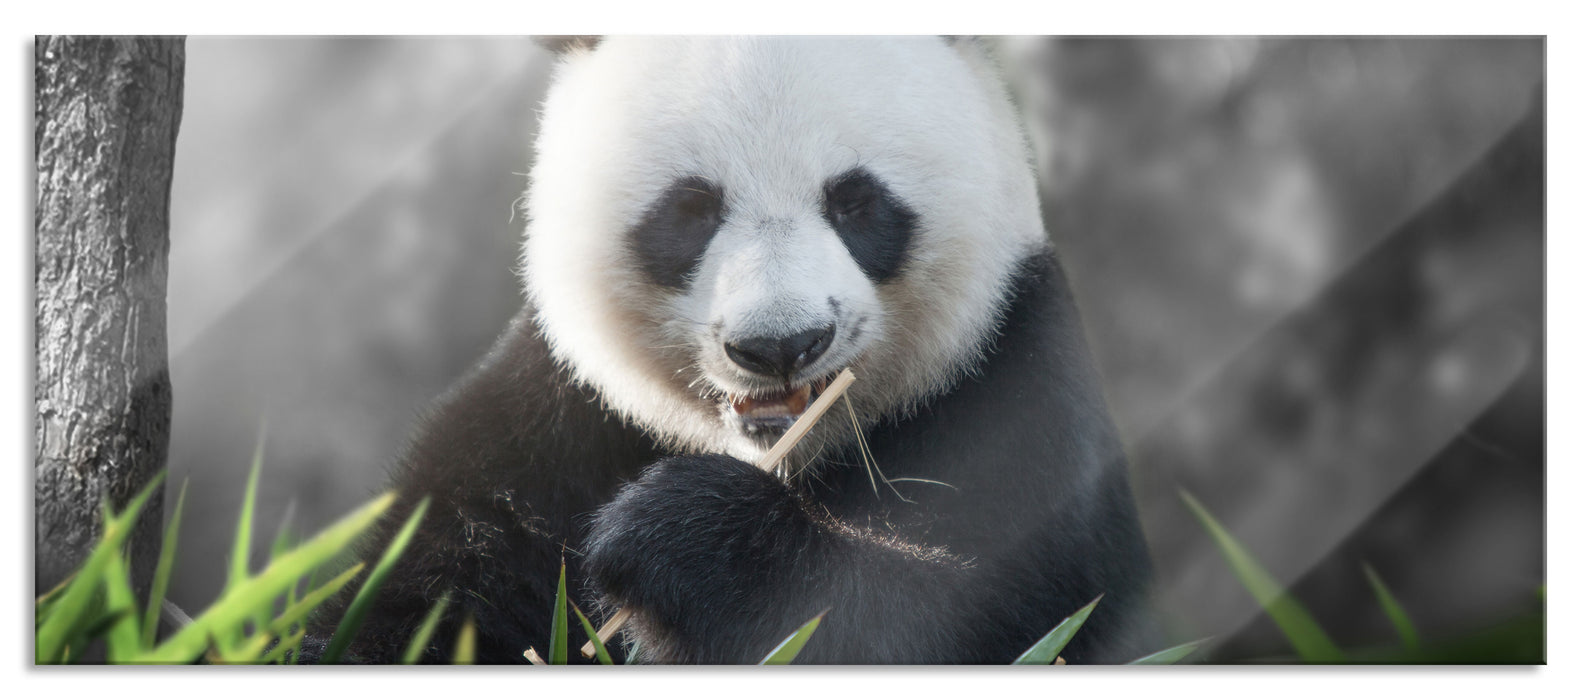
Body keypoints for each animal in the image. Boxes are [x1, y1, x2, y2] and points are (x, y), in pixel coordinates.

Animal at [307, 35, 1157, 664]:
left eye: (855, 201)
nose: (781, 345)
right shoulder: (552, 420)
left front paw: (681, 540)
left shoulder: (1014, 382)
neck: (783, 453)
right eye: (692, 208)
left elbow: (993, 615)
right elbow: (418, 594)